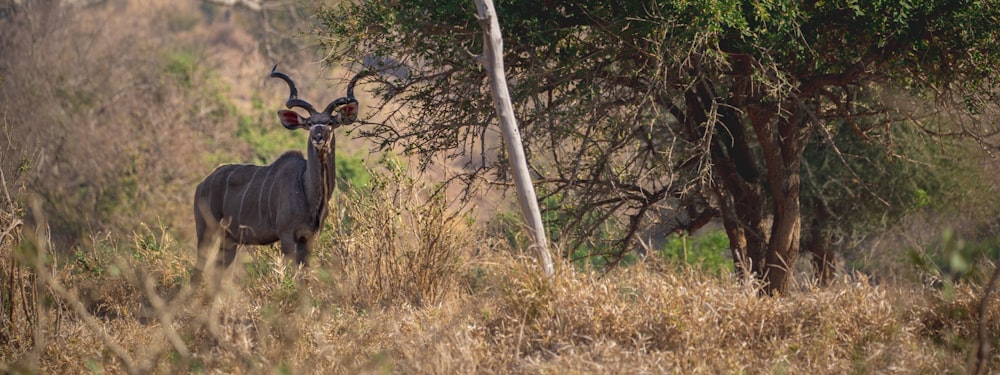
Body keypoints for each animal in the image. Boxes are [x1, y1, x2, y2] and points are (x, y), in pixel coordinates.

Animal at [191, 66, 368, 282]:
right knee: (197, 271)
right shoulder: (286, 234)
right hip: (206, 232)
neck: (306, 188)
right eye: (309, 123)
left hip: (229, 241)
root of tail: (202, 185)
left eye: (330, 122)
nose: (318, 138)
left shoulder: (308, 238)